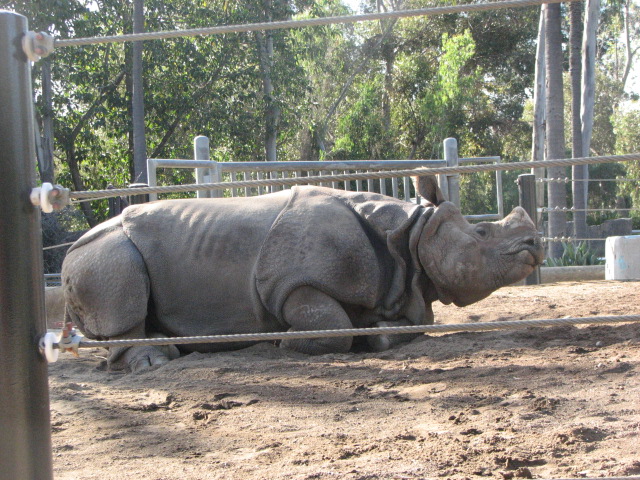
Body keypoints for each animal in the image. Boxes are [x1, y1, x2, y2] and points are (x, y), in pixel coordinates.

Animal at [62, 176, 544, 372]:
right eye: (482, 232)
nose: (536, 245)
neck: (408, 236)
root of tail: (69, 247)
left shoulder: (399, 287)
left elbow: (412, 325)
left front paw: (377, 335)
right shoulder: (291, 285)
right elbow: (332, 327)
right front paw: (284, 340)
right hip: (99, 251)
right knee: (120, 290)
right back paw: (156, 361)